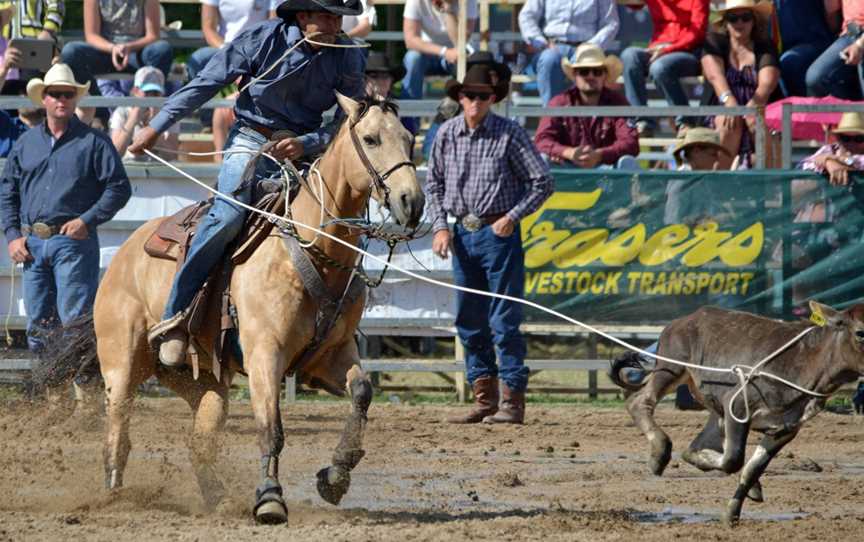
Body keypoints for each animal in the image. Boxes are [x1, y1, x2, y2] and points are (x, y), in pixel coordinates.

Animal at [93, 94, 424, 528]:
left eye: (408, 139)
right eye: (370, 139)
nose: (412, 202)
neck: (310, 249)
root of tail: (124, 252)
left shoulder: (330, 356)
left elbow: (362, 394)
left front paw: (335, 475)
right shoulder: (266, 355)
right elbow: (272, 428)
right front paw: (269, 498)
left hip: (204, 381)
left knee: (200, 440)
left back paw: (217, 499)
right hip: (123, 362)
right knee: (118, 428)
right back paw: (114, 495)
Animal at [612, 304, 860, 524]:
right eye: (860, 332)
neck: (809, 359)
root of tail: (680, 322)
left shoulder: (785, 429)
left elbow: (751, 468)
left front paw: (733, 512)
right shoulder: (738, 405)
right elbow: (731, 459)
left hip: (712, 406)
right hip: (671, 370)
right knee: (639, 402)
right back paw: (660, 453)